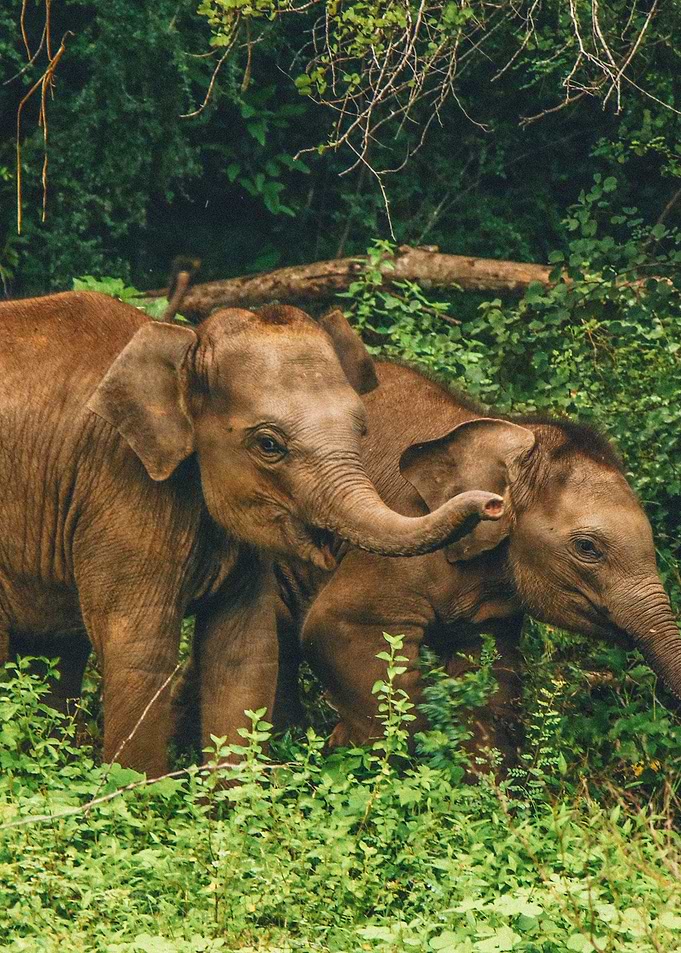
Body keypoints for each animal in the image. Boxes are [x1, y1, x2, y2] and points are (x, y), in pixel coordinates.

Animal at [0, 293, 503, 777]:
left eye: (362, 430)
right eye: (268, 444)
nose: (494, 503)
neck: (188, 346)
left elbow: (245, 650)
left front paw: (231, 799)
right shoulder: (119, 483)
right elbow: (140, 649)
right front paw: (138, 793)